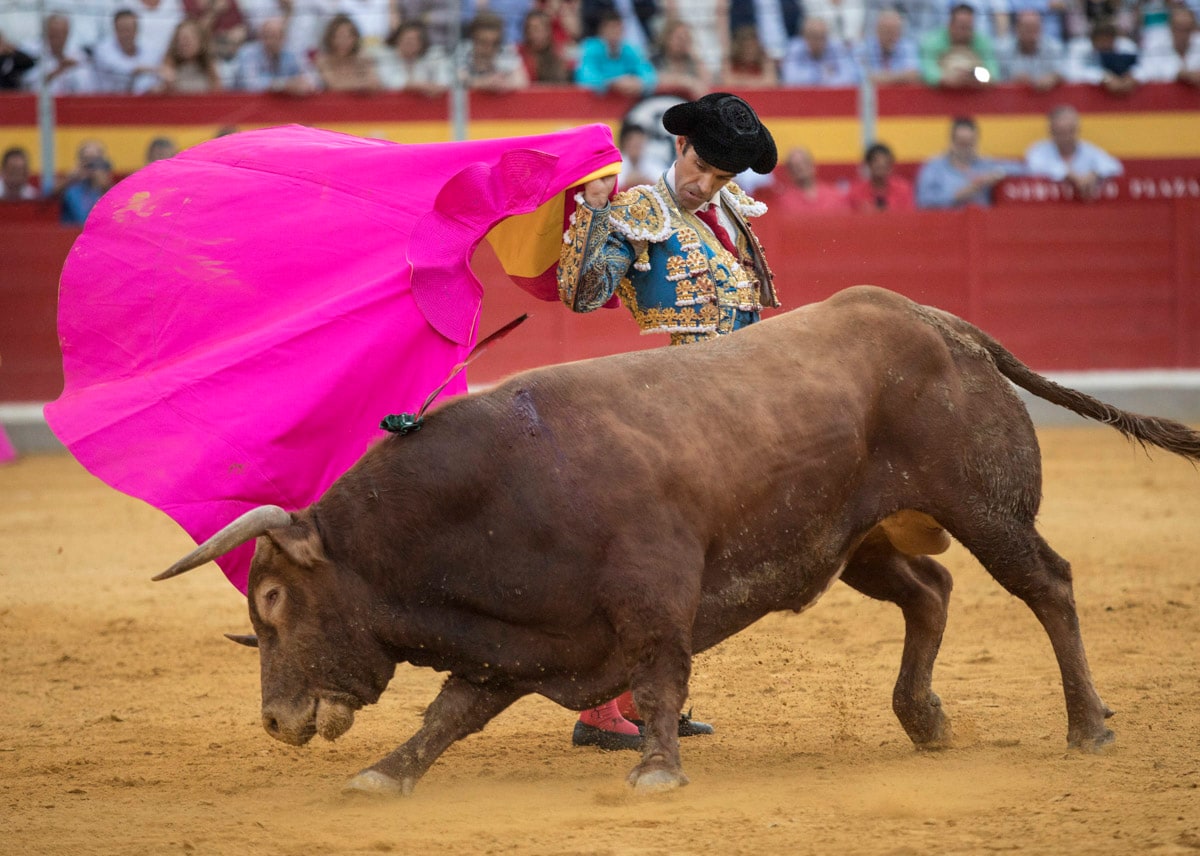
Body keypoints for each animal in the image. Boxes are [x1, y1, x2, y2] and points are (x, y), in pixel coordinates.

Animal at [157, 286, 1200, 792]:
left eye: (274, 599)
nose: (276, 721)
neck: (493, 492)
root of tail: (945, 324)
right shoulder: (519, 638)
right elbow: (450, 714)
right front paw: (383, 776)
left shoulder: (653, 597)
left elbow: (660, 679)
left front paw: (657, 770)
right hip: (854, 538)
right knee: (929, 595)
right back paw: (925, 720)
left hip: (986, 507)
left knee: (1048, 587)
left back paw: (1088, 725)